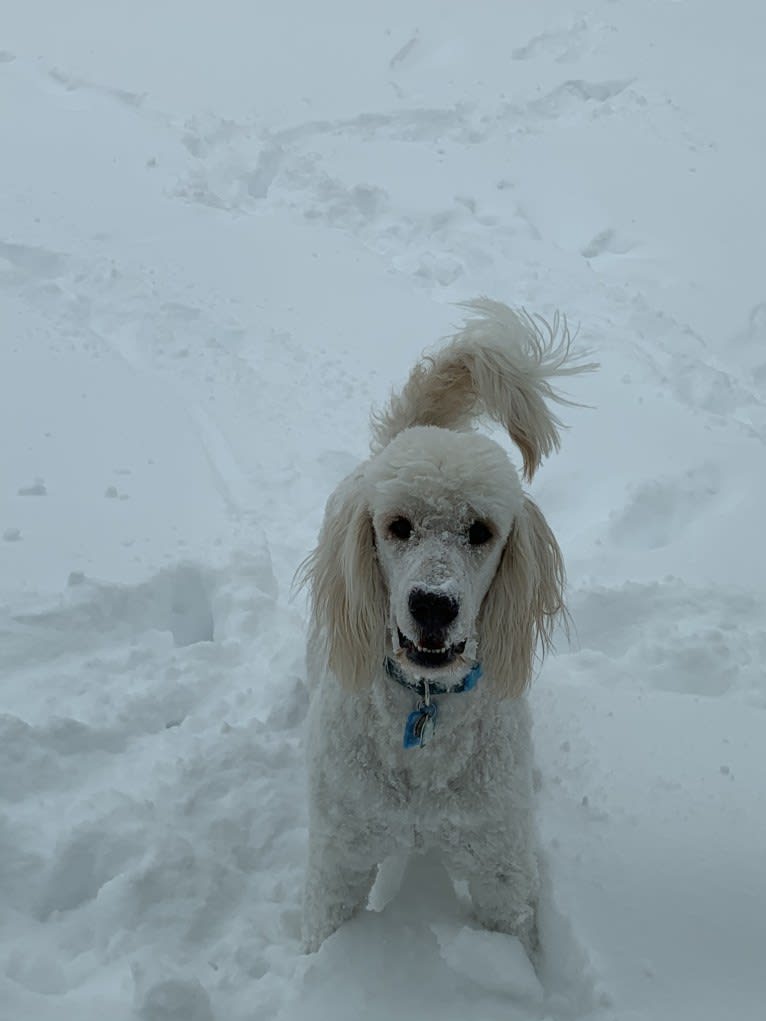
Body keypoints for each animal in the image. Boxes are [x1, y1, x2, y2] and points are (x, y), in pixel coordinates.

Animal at [298, 298, 592, 959]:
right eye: (397, 526)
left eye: (481, 530)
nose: (433, 605)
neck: (425, 710)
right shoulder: (341, 853)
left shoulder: (501, 867)